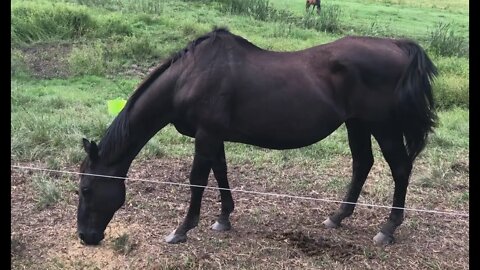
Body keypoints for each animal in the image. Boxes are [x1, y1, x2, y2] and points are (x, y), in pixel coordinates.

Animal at [77, 28, 436, 247]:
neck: (189, 78)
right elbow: (220, 173)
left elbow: (198, 180)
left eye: (86, 189)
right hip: (357, 124)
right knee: (362, 164)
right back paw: (337, 217)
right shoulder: (214, 137)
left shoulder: (206, 136)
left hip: (383, 126)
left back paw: (387, 229)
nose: (85, 236)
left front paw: (182, 229)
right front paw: (223, 218)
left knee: (400, 169)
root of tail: (397, 45)